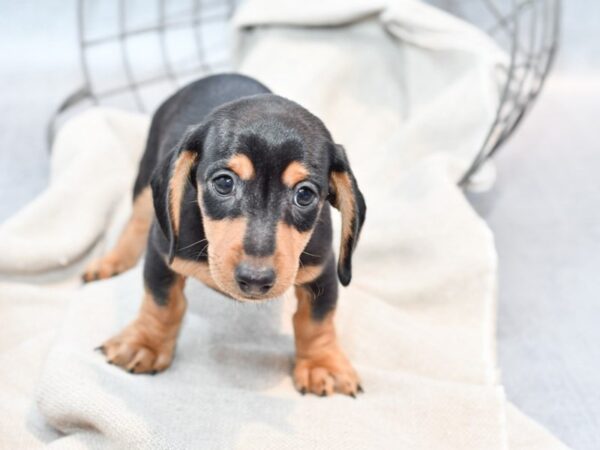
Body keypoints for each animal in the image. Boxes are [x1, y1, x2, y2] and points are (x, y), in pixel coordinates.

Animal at [82, 74, 366, 398]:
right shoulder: (161, 253)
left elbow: (317, 320)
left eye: (304, 194)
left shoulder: (323, 270)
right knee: (137, 221)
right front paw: (145, 344)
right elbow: (161, 303)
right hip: (145, 178)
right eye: (224, 183)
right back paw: (111, 261)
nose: (255, 280)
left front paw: (323, 365)